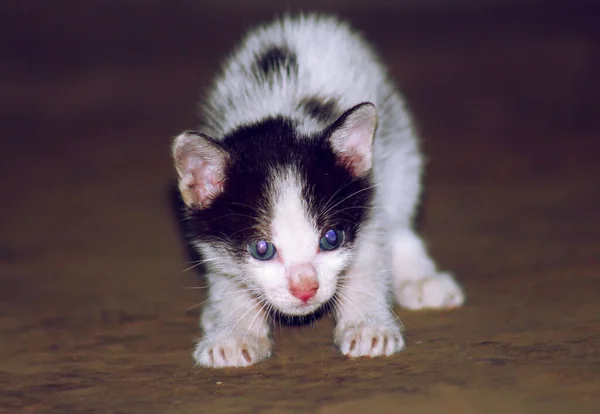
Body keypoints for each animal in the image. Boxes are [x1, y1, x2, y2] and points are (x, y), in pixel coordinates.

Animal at [172, 14, 464, 368]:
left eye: (331, 239)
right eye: (261, 249)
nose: (305, 289)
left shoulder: (366, 204)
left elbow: (367, 261)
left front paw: (367, 326)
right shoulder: (208, 235)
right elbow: (227, 278)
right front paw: (234, 331)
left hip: (400, 153)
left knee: (398, 218)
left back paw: (420, 279)